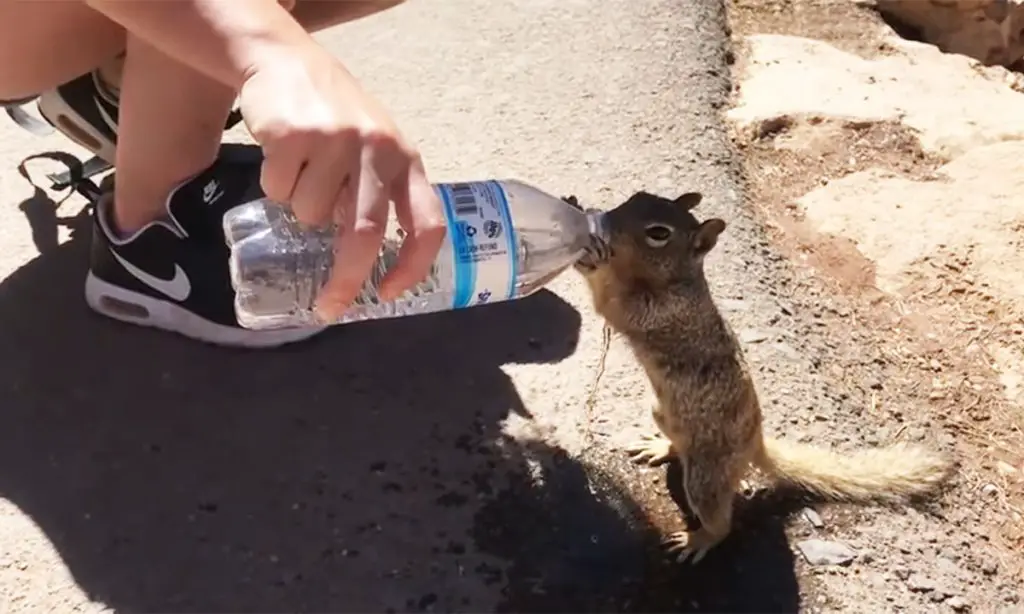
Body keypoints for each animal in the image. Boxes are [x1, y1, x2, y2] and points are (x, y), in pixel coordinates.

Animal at [573, 192, 954, 564]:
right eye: (637, 196)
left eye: (658, 233)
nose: (605, 220)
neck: (677, 280)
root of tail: (754, 443)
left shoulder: (657, 311)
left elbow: (609, 303)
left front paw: (588, 259)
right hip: (662, 413)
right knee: (678, 446)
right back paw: (660, 446)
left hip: (706, 477)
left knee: (720, 520)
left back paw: (698, 538)